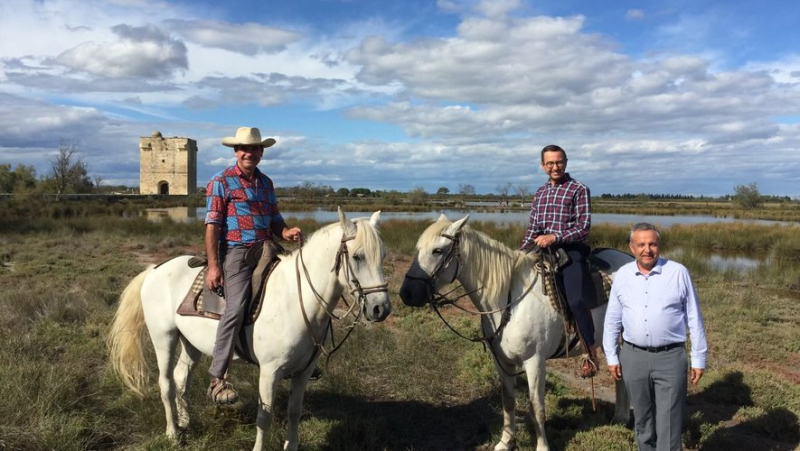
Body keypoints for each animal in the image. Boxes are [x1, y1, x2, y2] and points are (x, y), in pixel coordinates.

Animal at [108, 210, 390, 450]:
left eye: (383, 256)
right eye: (357, 256)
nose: (381, 308)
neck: (295, 300)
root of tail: (154, 270)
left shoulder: (303, 371)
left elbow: (294, 411)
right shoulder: (269, 371)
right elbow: (264, 417)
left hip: (191, 343)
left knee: (181, 379)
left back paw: (186, 421)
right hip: (163, 337)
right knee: (165, 383)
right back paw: (173, 433)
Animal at [400, 216, 632, 451]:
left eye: (437, 251)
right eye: (418, 248)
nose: (406, 293)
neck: (510, 302)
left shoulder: (535, 362)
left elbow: (536, 407)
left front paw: (542, 447)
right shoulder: (502, 361)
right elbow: (508, 402)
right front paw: (505, 442)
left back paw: (621, 417)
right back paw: (619, 418)